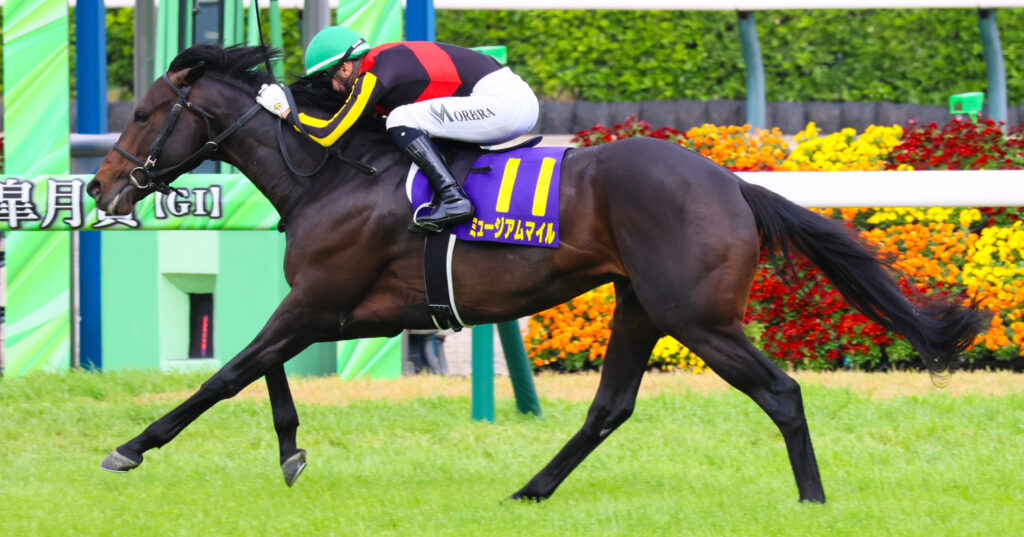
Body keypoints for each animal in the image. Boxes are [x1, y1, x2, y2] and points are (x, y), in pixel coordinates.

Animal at [88, 44, 990, 503]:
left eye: (144, 114)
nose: (99, 187)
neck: (330, 174)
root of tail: (730, 181)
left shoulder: (321, 301)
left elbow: (227, 374)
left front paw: (130, 446)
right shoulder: (337, 308)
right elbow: (260, 371)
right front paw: (291, 452)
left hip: (696, 317)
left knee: (781, 391)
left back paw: (811, 499)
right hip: (640, 305)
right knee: (610, 406)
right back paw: (530, 489)